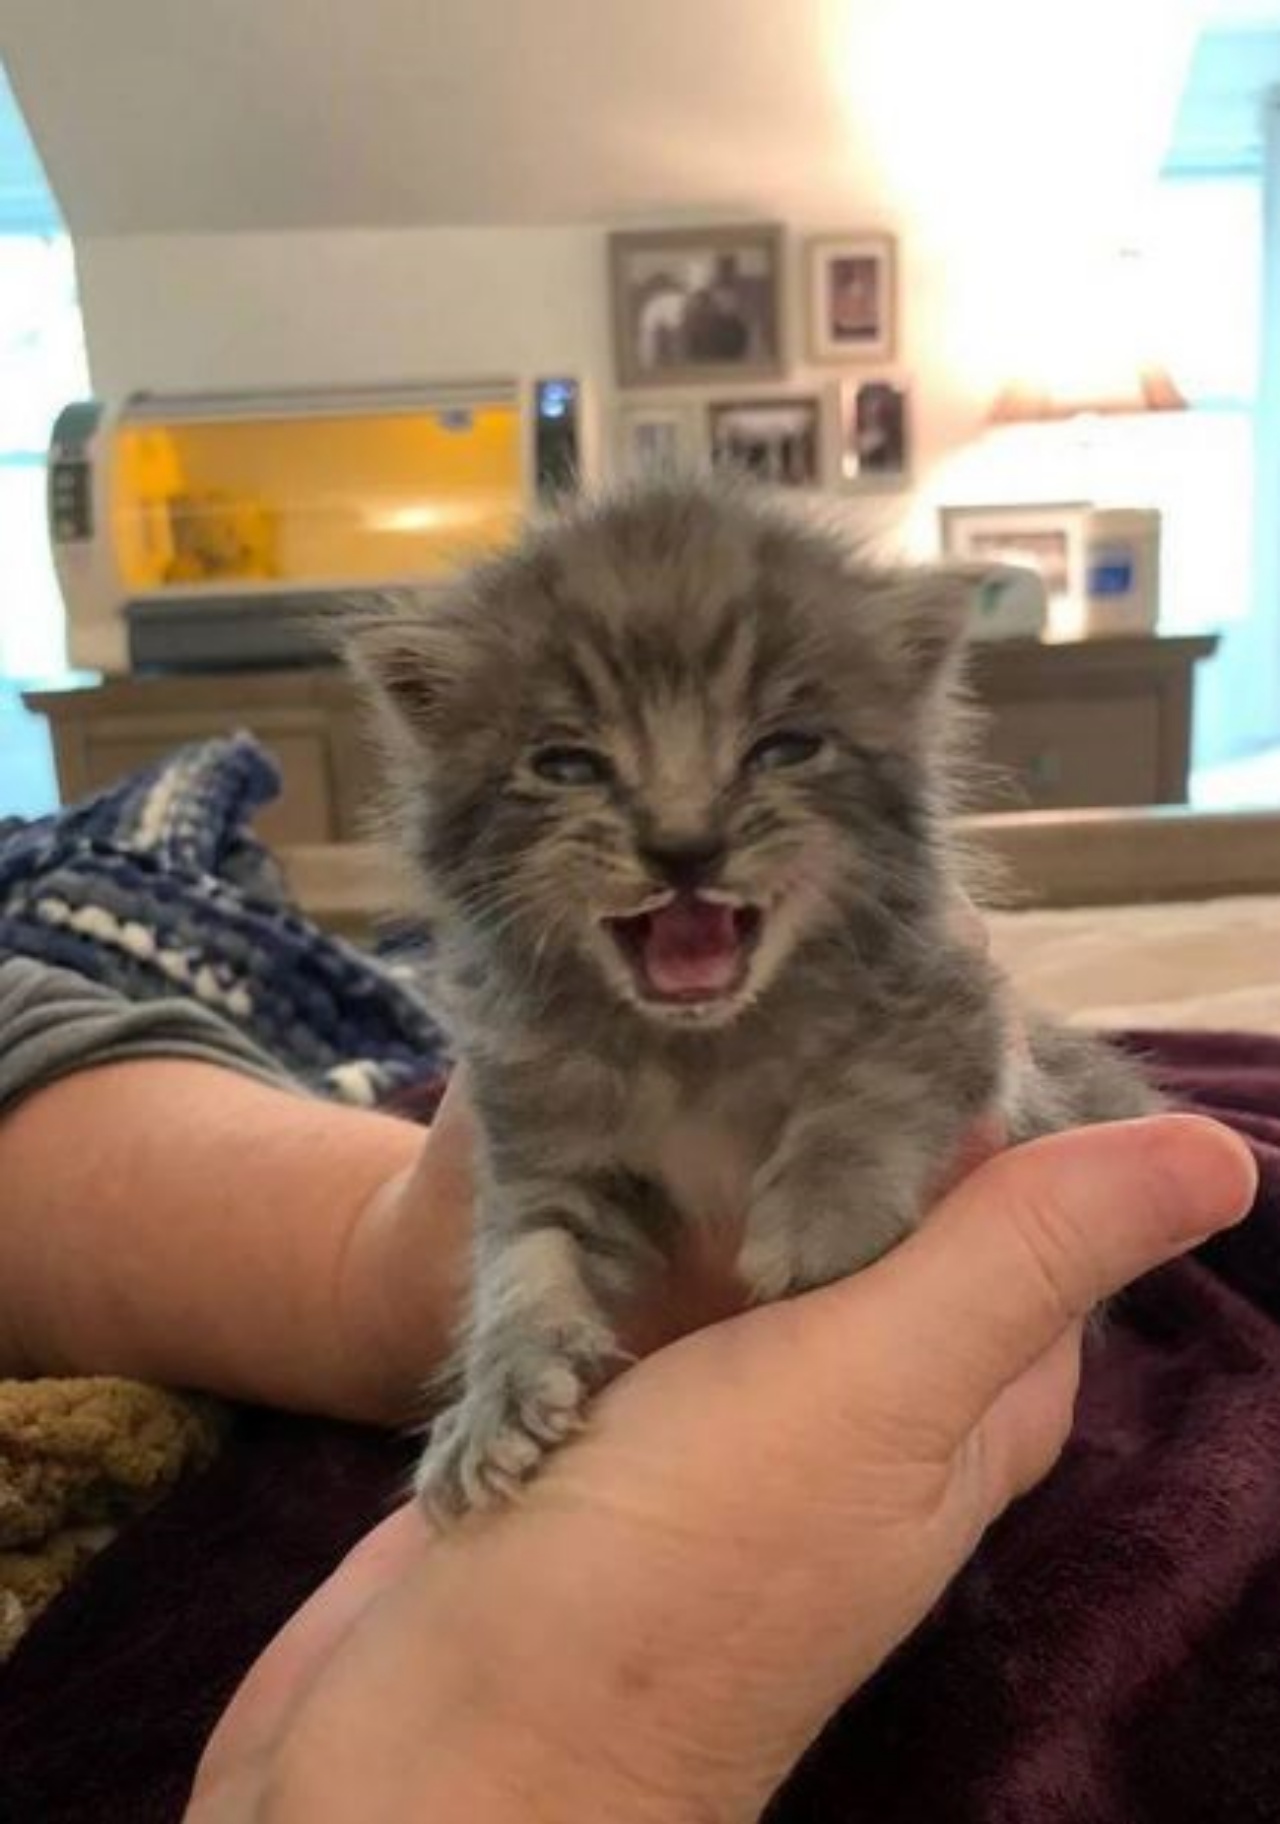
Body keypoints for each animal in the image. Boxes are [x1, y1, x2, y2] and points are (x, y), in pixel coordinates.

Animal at [346, 477, 1159, 1517]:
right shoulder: (539, 1129)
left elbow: (876, 1086)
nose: (684, 845)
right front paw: (500, 1392)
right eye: (566, 765)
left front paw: (823, 1214)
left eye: (786, 747)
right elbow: (526, 1255)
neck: (696, 1048)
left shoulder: (958, 1001)